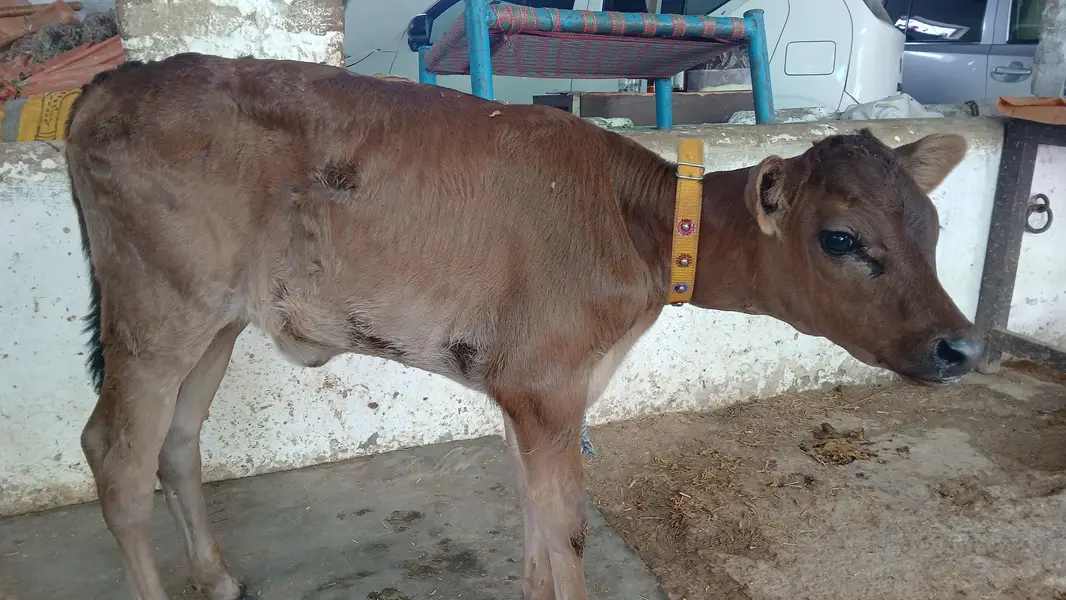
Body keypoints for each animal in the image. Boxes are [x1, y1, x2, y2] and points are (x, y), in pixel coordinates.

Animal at [64, 52, 982, 600]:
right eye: (841, 239)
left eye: (934, 226)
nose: (964, 345)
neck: (639, 228)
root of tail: (124, 76)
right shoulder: (547, 386)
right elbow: (566, 532)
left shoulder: (524, 390)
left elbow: (539, 535)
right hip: (156, 309)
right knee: (115, 455)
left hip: (216, 318)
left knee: (178, 443)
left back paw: (217, 579)